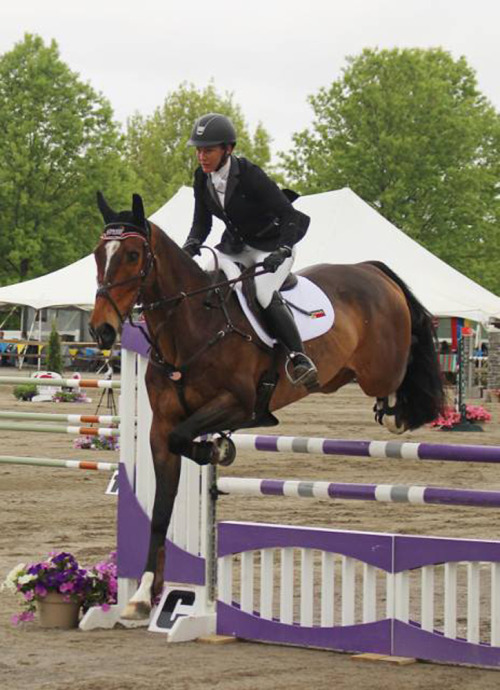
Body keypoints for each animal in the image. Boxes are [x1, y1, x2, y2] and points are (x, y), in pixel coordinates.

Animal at [90, 192, 446, 620]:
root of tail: (369, 269)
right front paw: (143, 594)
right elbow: (160, 509)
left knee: (402, 370)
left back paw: (397, 411)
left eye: (132, 254)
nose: (102, 330)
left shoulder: (239, 405)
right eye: (97, 254)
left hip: (380, 366)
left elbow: (186, 437)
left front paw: (215, 449)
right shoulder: (160, 428)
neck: (191, 327)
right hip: (339, 374)